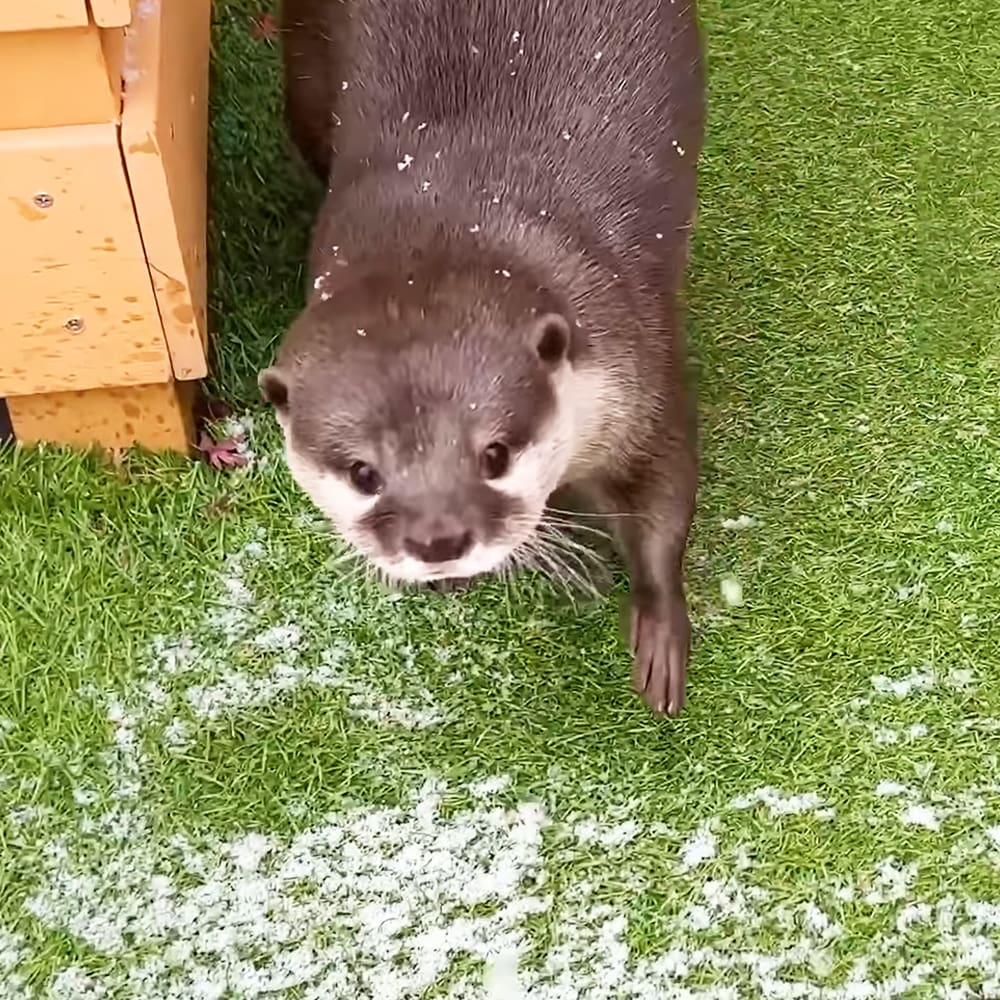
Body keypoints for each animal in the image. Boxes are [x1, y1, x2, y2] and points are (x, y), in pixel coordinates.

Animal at [264, 0, 706, 716]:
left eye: (495, 454)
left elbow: (663, 491)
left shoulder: (640, 365)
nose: (438, 539)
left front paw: (661, 633)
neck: (457, 214)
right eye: (363, 473)